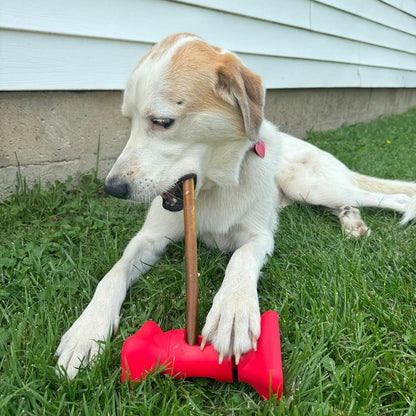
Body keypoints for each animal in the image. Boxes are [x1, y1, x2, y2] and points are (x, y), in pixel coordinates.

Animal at [57, 33, 416, 376]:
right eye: (127, 121)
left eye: (162, 121)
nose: (113, 187)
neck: (215, 189)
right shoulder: (148, 239)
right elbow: (113, 274)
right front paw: (86, 331)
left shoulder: (260, 237)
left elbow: (240, 259)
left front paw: (233, 311)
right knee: (348, 203)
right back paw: (353, 224)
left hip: (308, 185)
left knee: (385, 197)